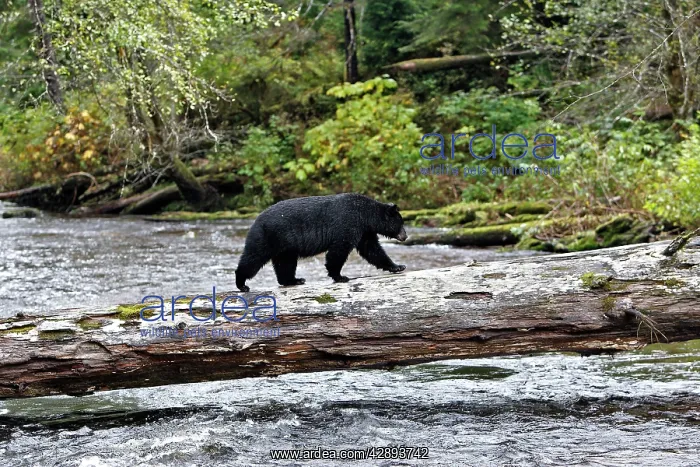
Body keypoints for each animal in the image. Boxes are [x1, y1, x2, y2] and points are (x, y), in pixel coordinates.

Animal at [235, 193, 408, 292]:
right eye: (401, 223)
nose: (405, 236)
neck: (365, 214)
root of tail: (256, 219)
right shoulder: (348, 223)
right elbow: (339, 249)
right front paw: (340, 276)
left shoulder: (365, 230)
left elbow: (372, 249)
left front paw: (397, 266)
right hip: (267, 236)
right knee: (254, 257)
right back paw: (242, 284)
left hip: (285, 246)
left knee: (285, 263)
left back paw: (294, 280)